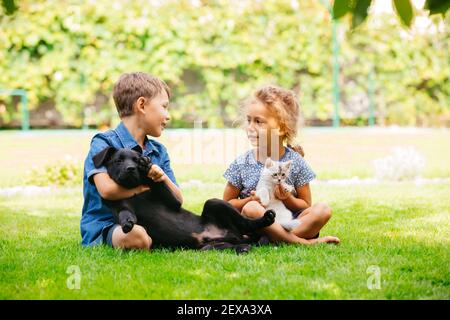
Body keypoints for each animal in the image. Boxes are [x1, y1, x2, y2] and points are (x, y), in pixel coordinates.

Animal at [92, 146, 274, 254]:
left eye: (135, 161)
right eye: (118, 161)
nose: (131, 169)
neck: (134, 192)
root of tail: (235, 235)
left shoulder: (172, 202)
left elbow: (159, 183)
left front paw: (148, 167)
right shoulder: (117, 204)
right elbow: (124, 212)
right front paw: (127, 222)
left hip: (215, 203)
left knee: (247, 222)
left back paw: (265, 218)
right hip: (209, 248)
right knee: (234, 245)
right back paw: (243, 247)